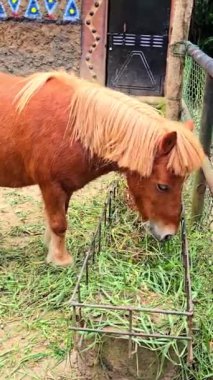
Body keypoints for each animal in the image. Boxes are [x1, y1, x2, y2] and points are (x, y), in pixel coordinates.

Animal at [0, 70, 205, 264]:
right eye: (162, 186)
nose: (168, 234)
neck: (73, 129)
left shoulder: (65, 188)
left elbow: (57, 218)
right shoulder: (51, 185)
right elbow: (59, 223)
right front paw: (60, 260)